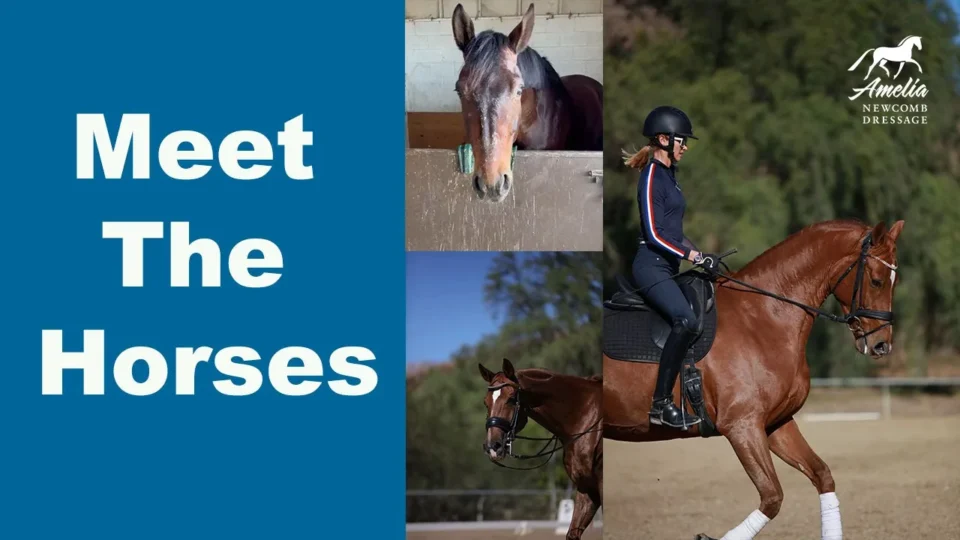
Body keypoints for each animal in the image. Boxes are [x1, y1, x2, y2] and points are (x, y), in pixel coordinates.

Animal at [479, 358, 603, 540]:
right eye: (486, 402)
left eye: (511, 399)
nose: (493, 447)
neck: (585, 416)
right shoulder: (587, 489)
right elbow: (572, 534)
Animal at [603, 218, 904, 540]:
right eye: (876, 280)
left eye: (893, 280)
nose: (881, 346)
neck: (764, 316)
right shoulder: (742, 426)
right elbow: (772, 497)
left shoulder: (775, 423)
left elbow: (822, 475)